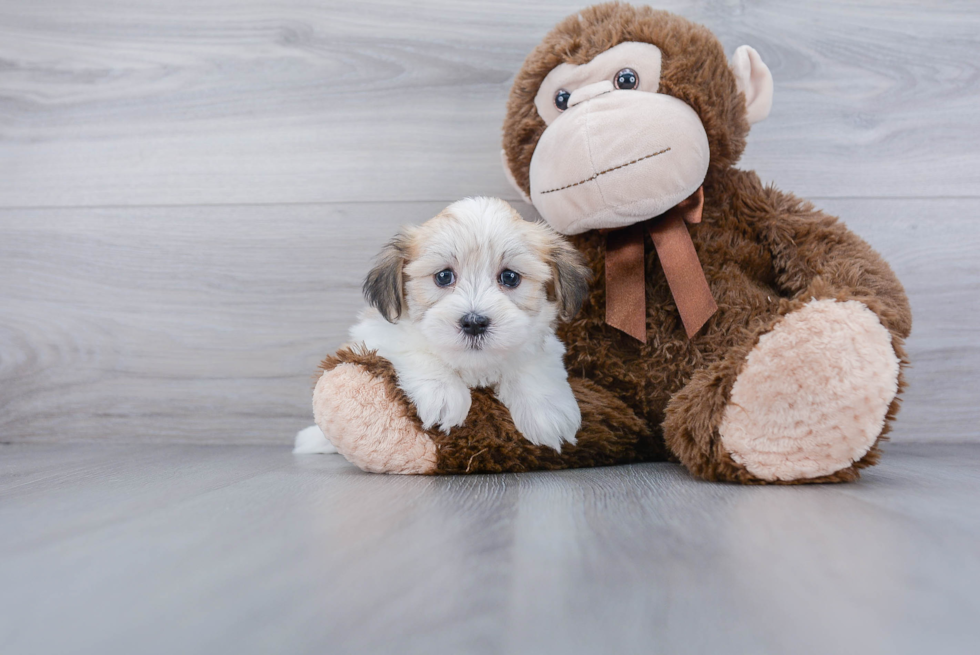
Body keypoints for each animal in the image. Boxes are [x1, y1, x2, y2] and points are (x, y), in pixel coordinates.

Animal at [298, 197, 588, 454]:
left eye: (510, 277)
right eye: (444, 276)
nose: (474, 323)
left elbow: (534, 364)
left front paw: (547, 409)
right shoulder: (376, 332)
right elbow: (414, 349)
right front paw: (441, 392)